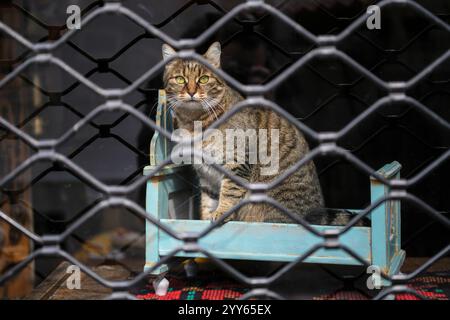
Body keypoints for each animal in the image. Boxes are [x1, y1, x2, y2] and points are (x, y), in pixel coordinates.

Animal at [162, 42, 358, 225]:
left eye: (203, 79)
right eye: (180, 79)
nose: (191, 91)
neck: (193, 122)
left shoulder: (238, 162)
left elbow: (229, 193)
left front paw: (221, 212)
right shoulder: (206, 176)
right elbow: (208, 201)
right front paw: (205, 218)